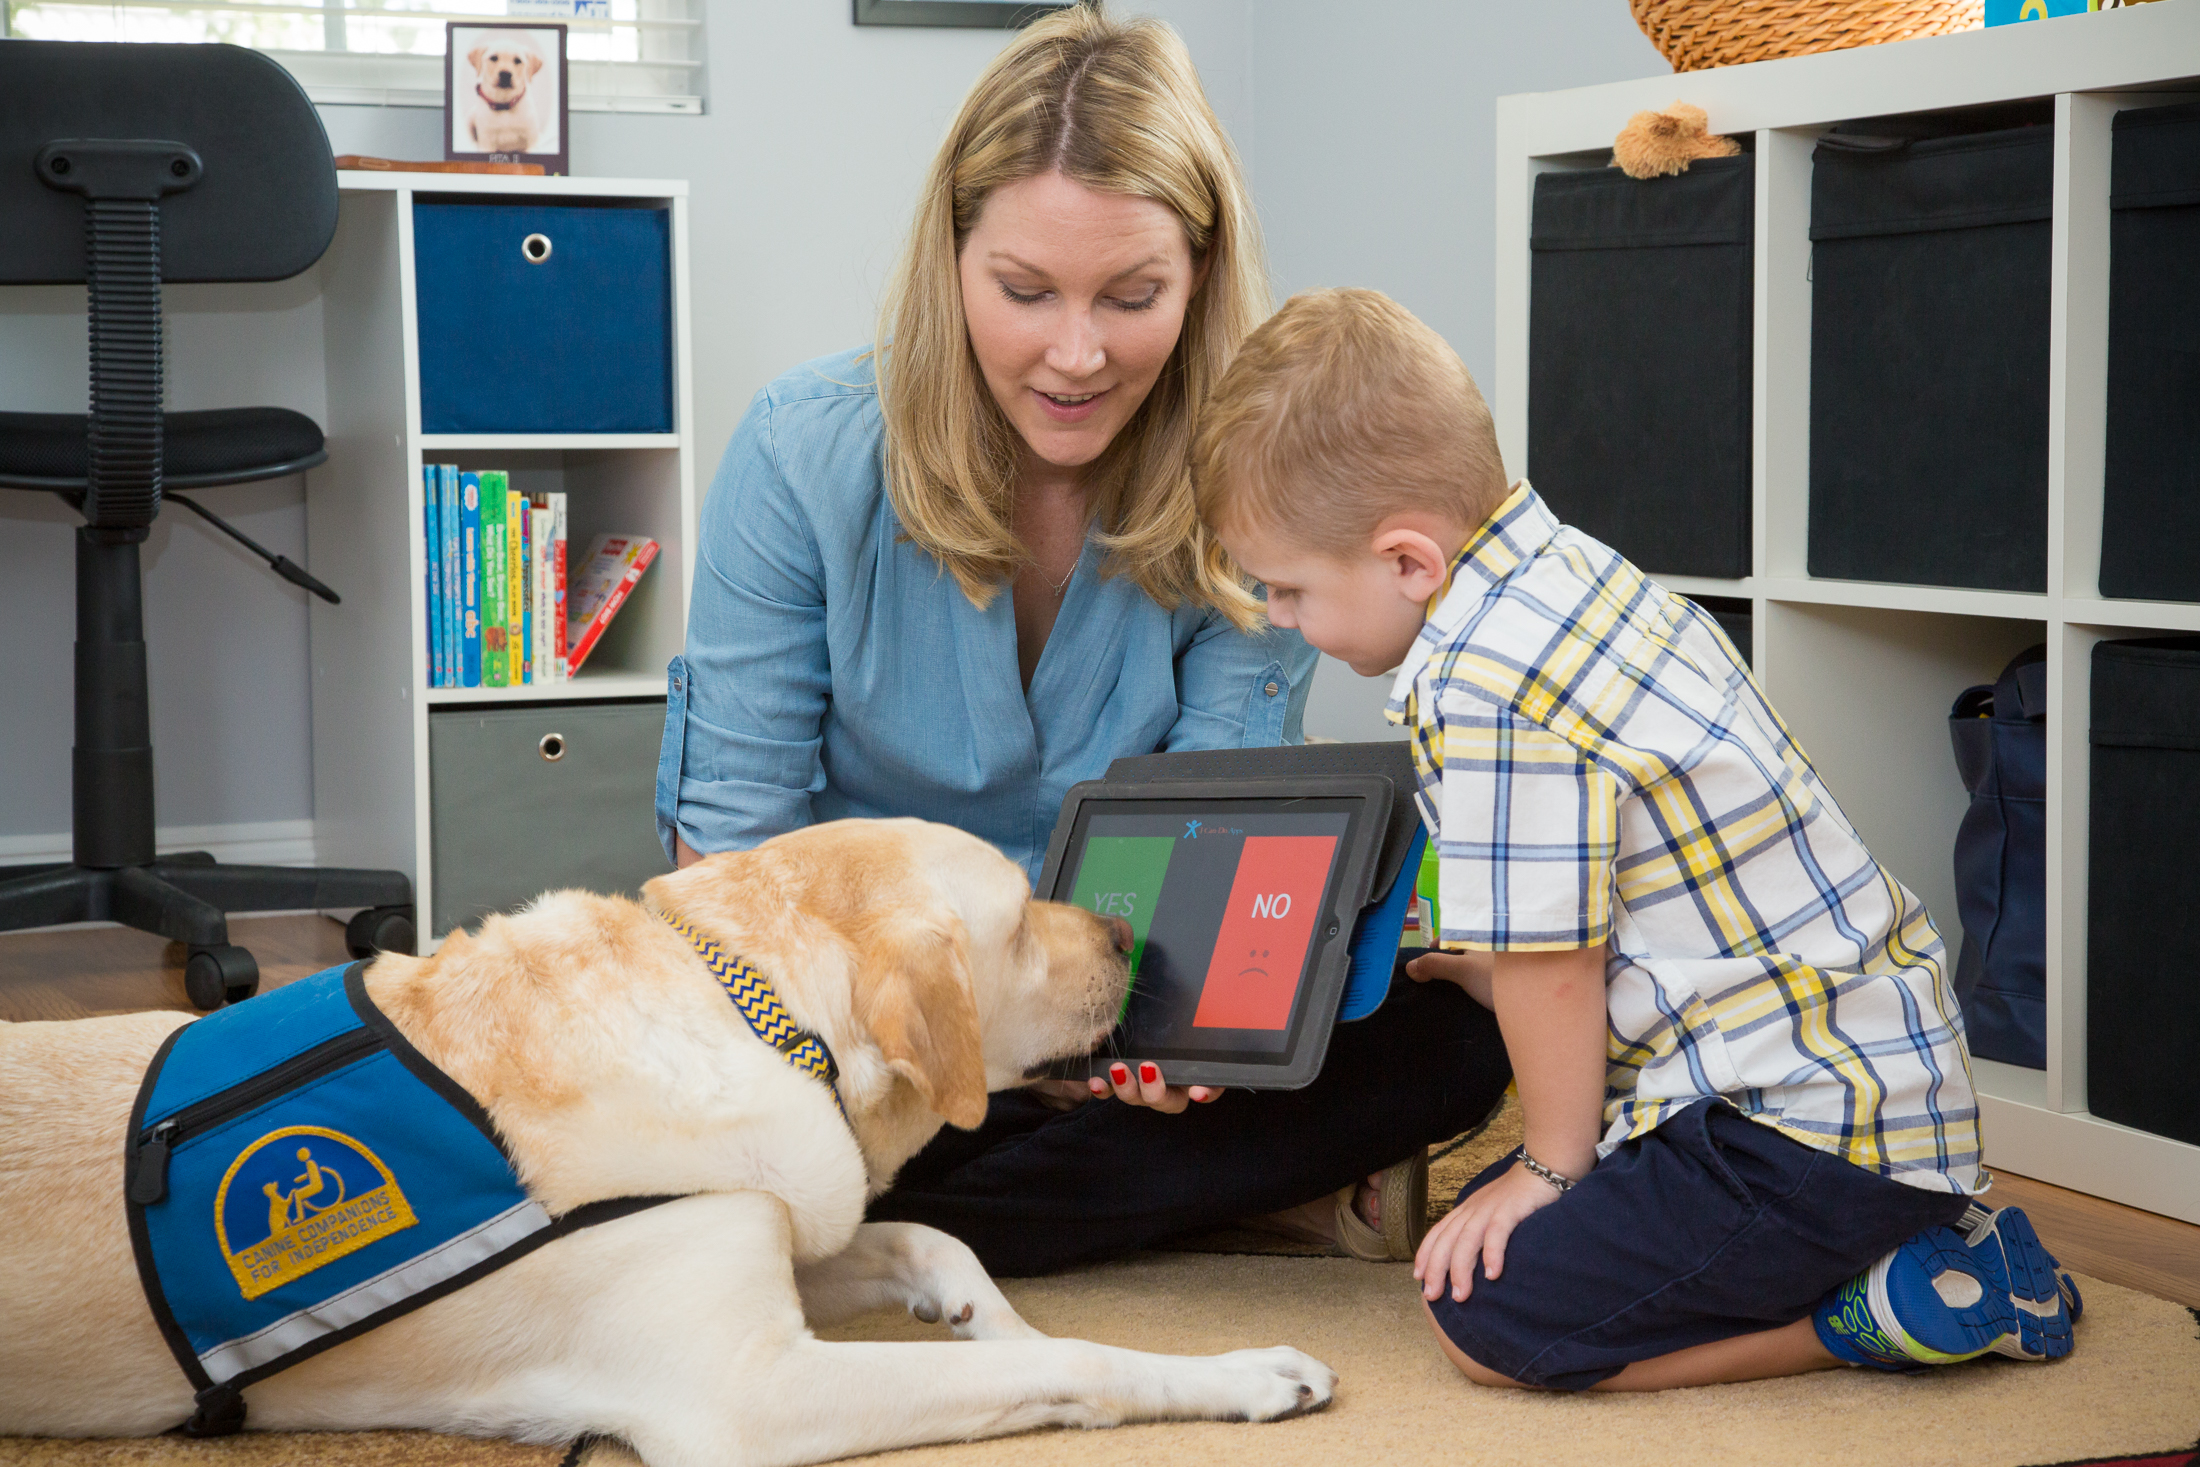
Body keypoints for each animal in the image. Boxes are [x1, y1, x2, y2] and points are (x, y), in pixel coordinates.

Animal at [0, 822, 1328, 1460]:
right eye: (1016, 916)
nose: (1132, 943)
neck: (753, 1007)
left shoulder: (760, 1217)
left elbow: (927, 1238)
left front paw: (980, 1310)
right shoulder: (746, 1392)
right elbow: (1078, 1365)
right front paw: (1250, 1374)